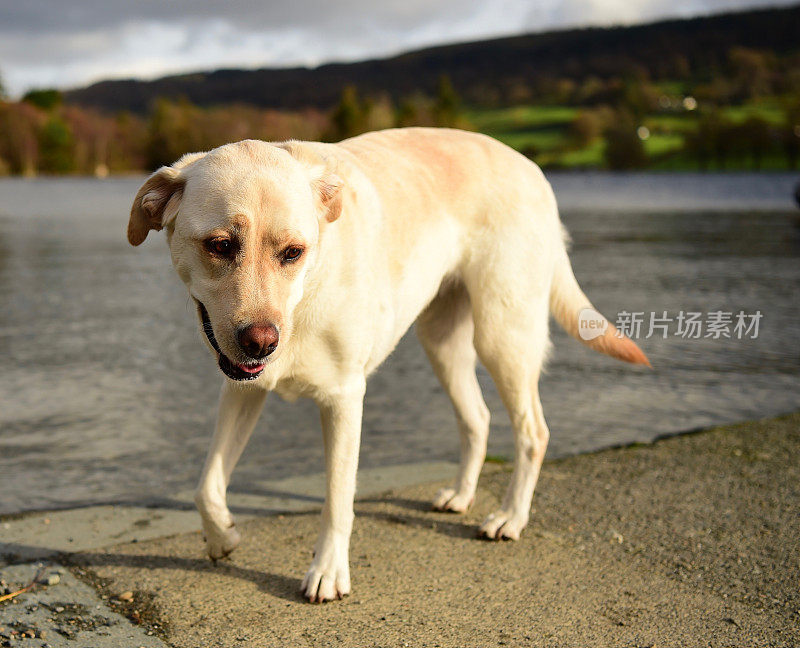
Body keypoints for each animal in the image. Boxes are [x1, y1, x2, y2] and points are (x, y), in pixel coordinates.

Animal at [128, 126, 648, 604]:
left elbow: (338, 498)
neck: (307, 291)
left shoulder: (343, 398)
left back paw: (509, 518)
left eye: (293, 252)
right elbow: (207, 485)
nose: (261, 343)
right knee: (477, 419)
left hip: (504, 336)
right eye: (219, 245)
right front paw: (223, 538)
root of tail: (533, 168)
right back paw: (461, 495)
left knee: (533, 432)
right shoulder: (244, 387)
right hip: (442, 343)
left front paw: (328, 572)